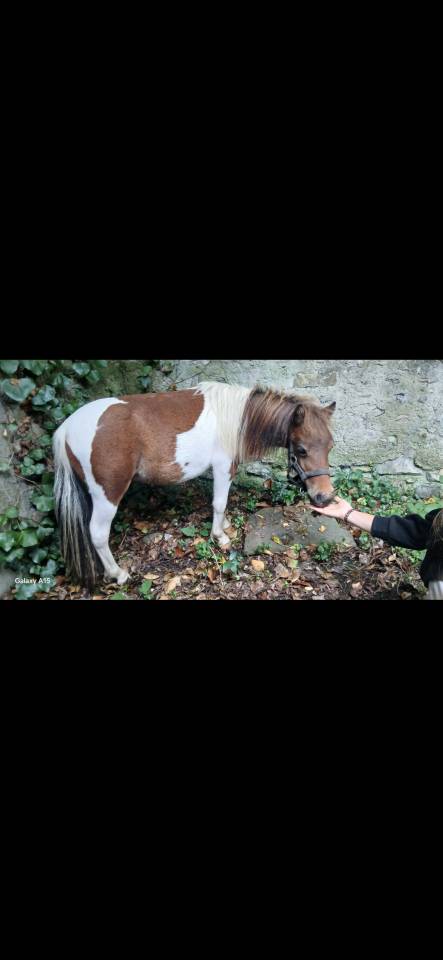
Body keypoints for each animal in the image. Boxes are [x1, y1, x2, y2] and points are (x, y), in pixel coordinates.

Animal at [53, 382, 336, 587]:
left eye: (330, 446)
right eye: (301, 450)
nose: (325, 497)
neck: (237, 418)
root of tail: (66, 428)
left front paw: (225, 526)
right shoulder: (223, 467)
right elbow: (219, 503)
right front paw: (219, 536)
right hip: (107, 495)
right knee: (98, 534)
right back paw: (118, 574)